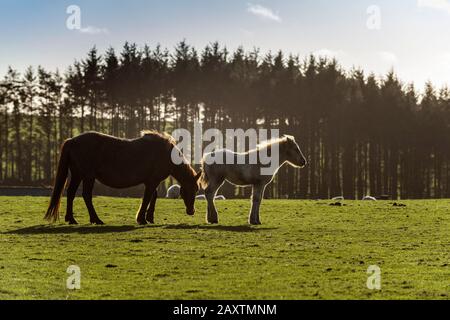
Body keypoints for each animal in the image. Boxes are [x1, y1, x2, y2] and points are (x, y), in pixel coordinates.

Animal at [44, 130, 200, 225]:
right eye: (194, 189)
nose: (191, 211)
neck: (165, 153)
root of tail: (72, 140)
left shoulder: (152, 181)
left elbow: (153, 197)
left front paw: (149, 218)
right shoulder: (152, 181)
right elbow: (147, 198)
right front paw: (142, 219)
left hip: (78, 175)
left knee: (71, 193)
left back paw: (71, 219)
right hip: (88, 176)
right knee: (86, 195)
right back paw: (96, 219)